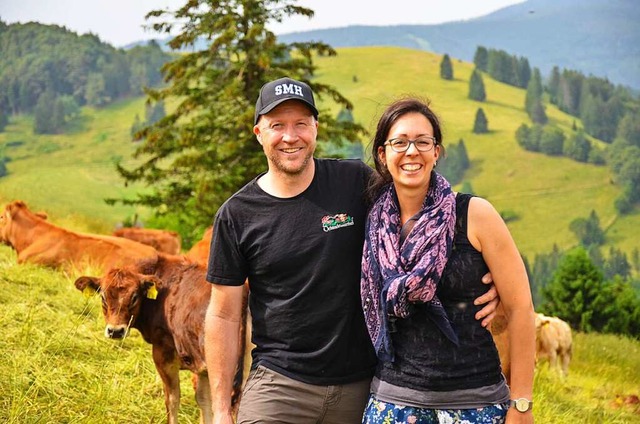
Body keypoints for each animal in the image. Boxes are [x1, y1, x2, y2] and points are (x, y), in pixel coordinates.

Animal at [74, 253, 246, 422]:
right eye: (103, 297)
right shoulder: (202, 368)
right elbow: (205, 401)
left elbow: (172, 400)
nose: (115, 331)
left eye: (134, 297)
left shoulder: (163, 355)